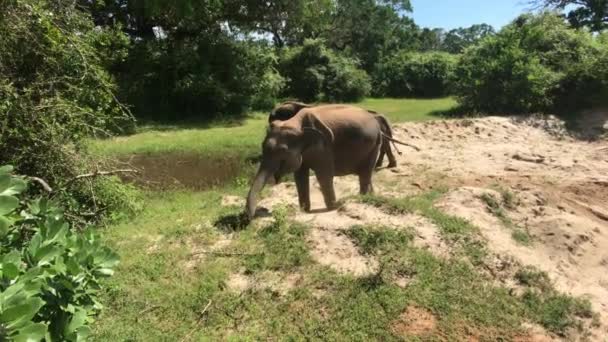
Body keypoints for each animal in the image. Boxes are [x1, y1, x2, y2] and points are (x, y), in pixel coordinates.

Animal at [245, 103, 382, 219]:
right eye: (262, 146)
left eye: (283, 151)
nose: (249, 218)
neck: (295, 123)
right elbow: (300, 176)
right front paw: (304, 210)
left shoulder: (324, 146)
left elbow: (323, 175)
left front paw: (333, 208)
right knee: (367, 173)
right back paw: (371, 196)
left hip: (374, 144)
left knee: (365, 172)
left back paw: (362, 198)